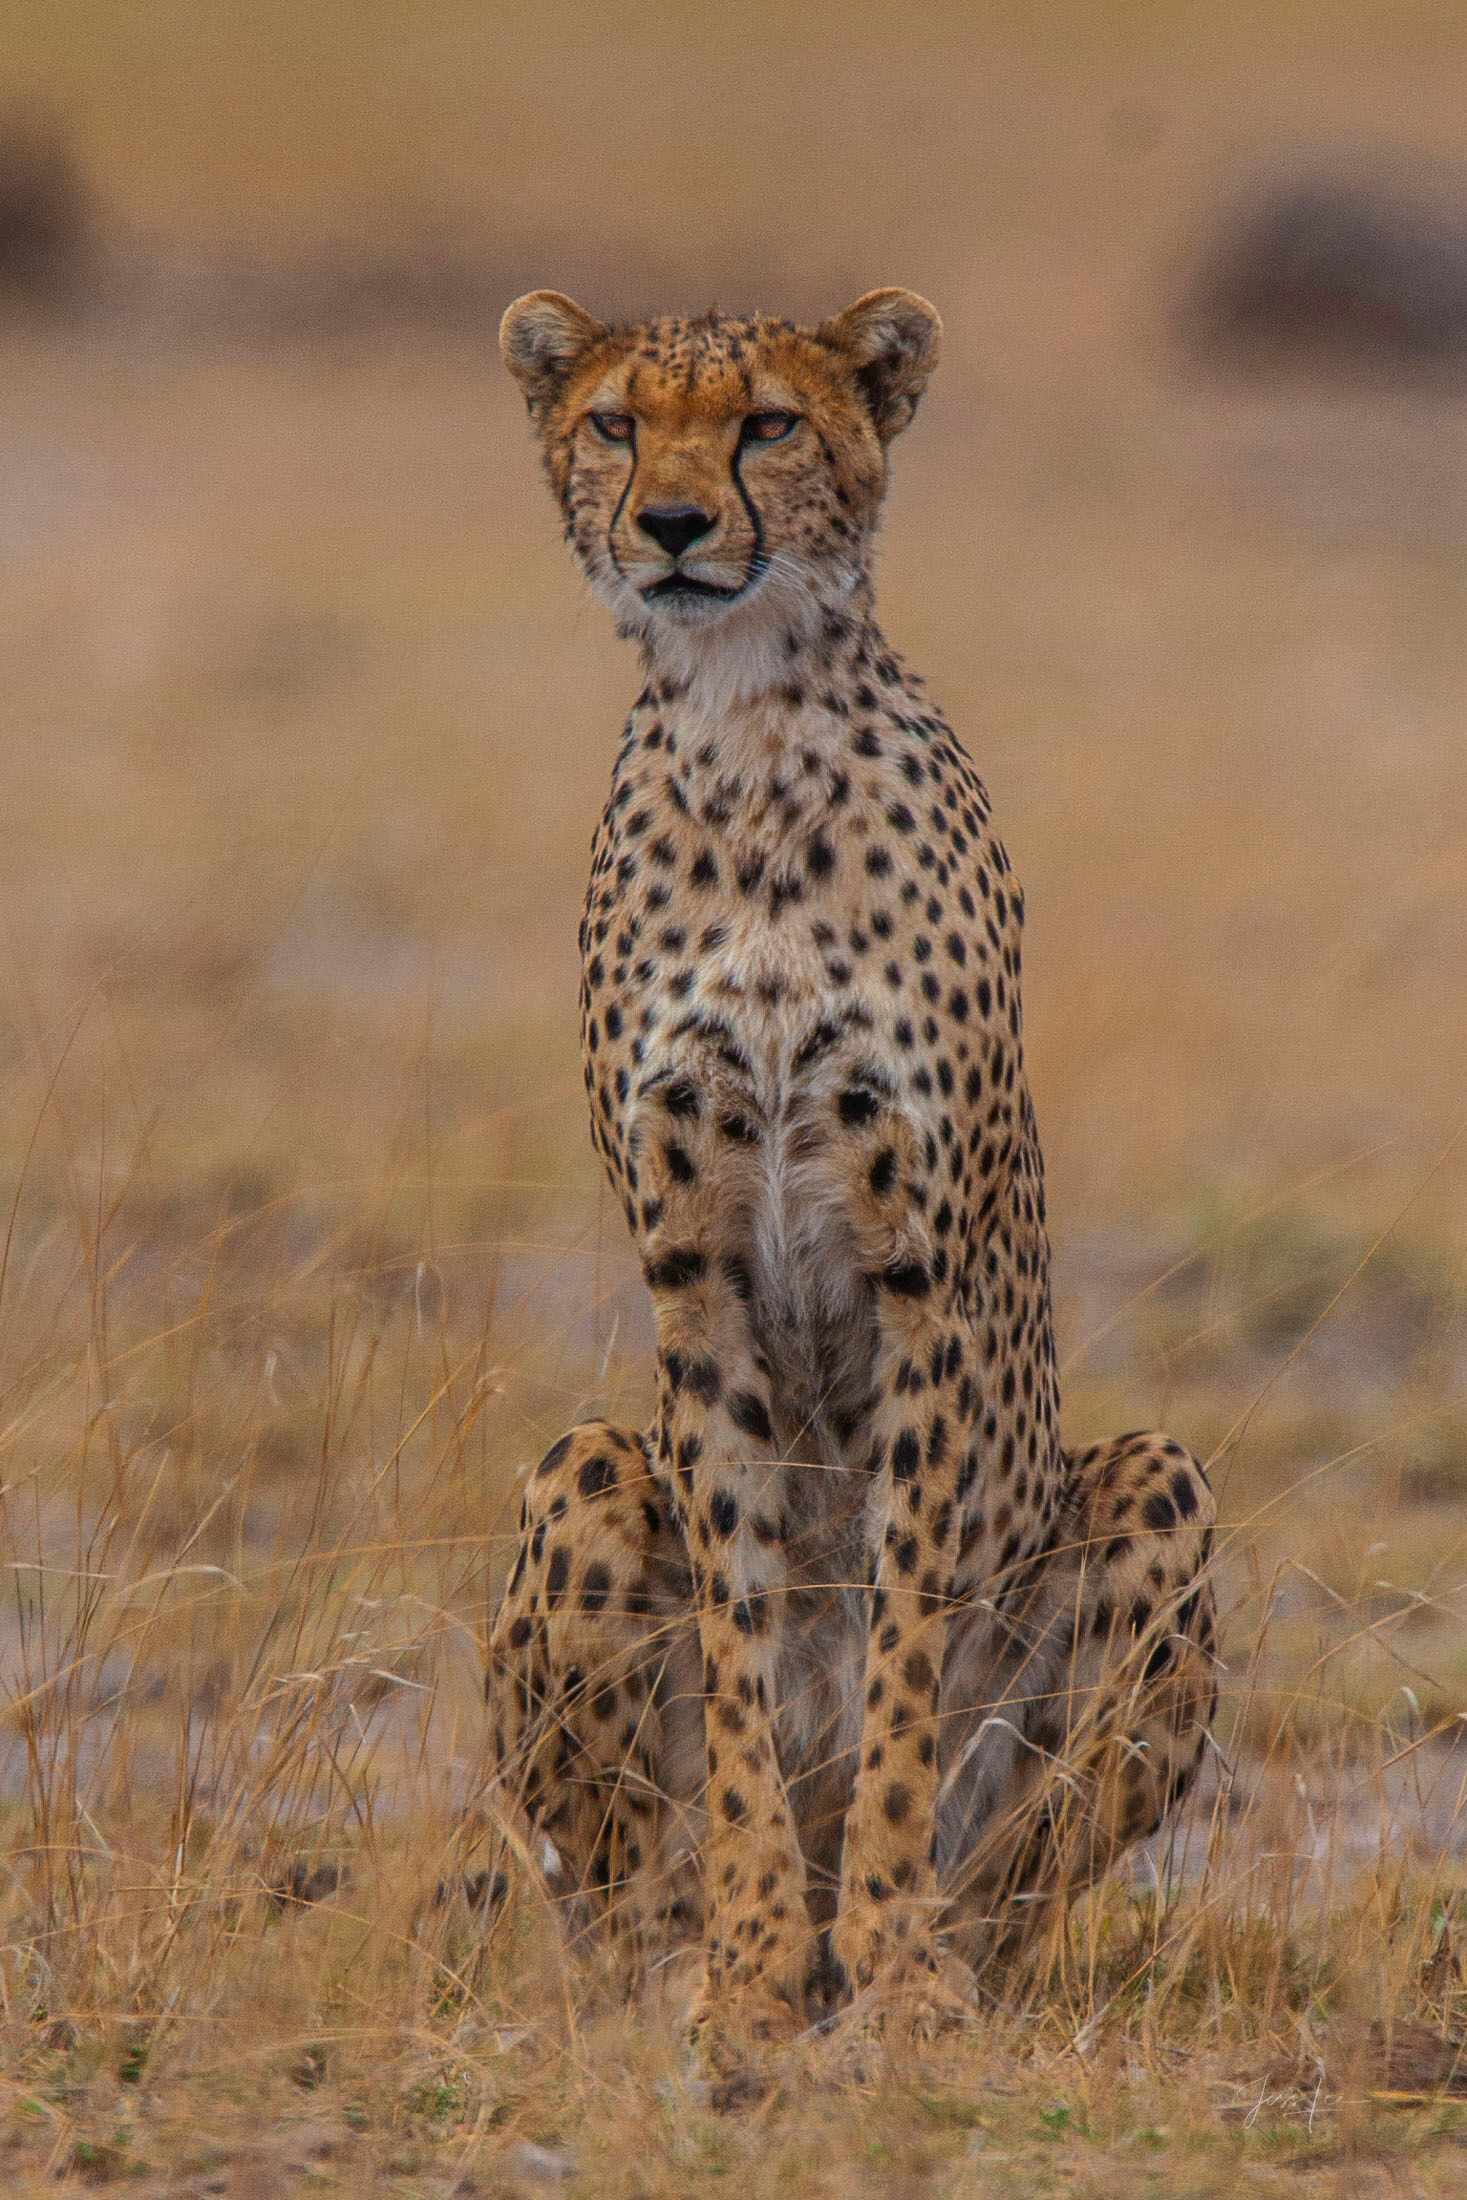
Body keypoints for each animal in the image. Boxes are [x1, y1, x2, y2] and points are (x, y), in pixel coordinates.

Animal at [486, 284, 1218, 2061]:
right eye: (616, 425)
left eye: (765, 423)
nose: (675, 526)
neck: (745, 722)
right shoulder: (689, 1267)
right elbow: (747, 1642)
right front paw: (749, 1968)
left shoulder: (920, 1269)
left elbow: (896, 1646)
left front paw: (879, 1963)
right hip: (579, 1468)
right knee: (606, 1893)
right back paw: (689, 1955)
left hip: (1156, 1481)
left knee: (1015, 1891)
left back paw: (920, 1955)